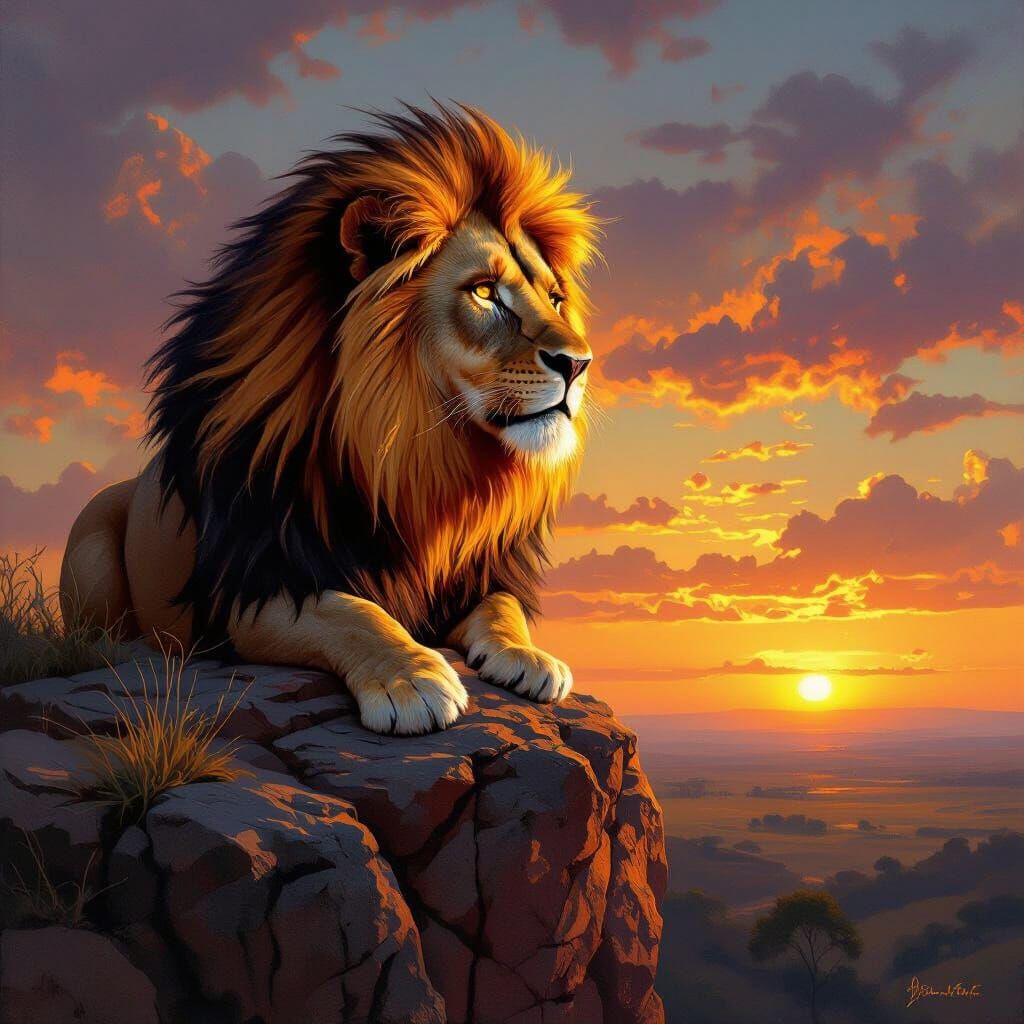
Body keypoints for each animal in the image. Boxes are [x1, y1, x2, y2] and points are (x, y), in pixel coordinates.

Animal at [60, 103, 600, 735]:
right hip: (92, 547)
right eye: (486, 292)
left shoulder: (473, 573)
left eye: (556, 299)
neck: (419, 463)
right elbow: (351, 611)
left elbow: (502, 604)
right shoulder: (254, 588)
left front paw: (529, 656)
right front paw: (411, 680)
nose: (580, 363)